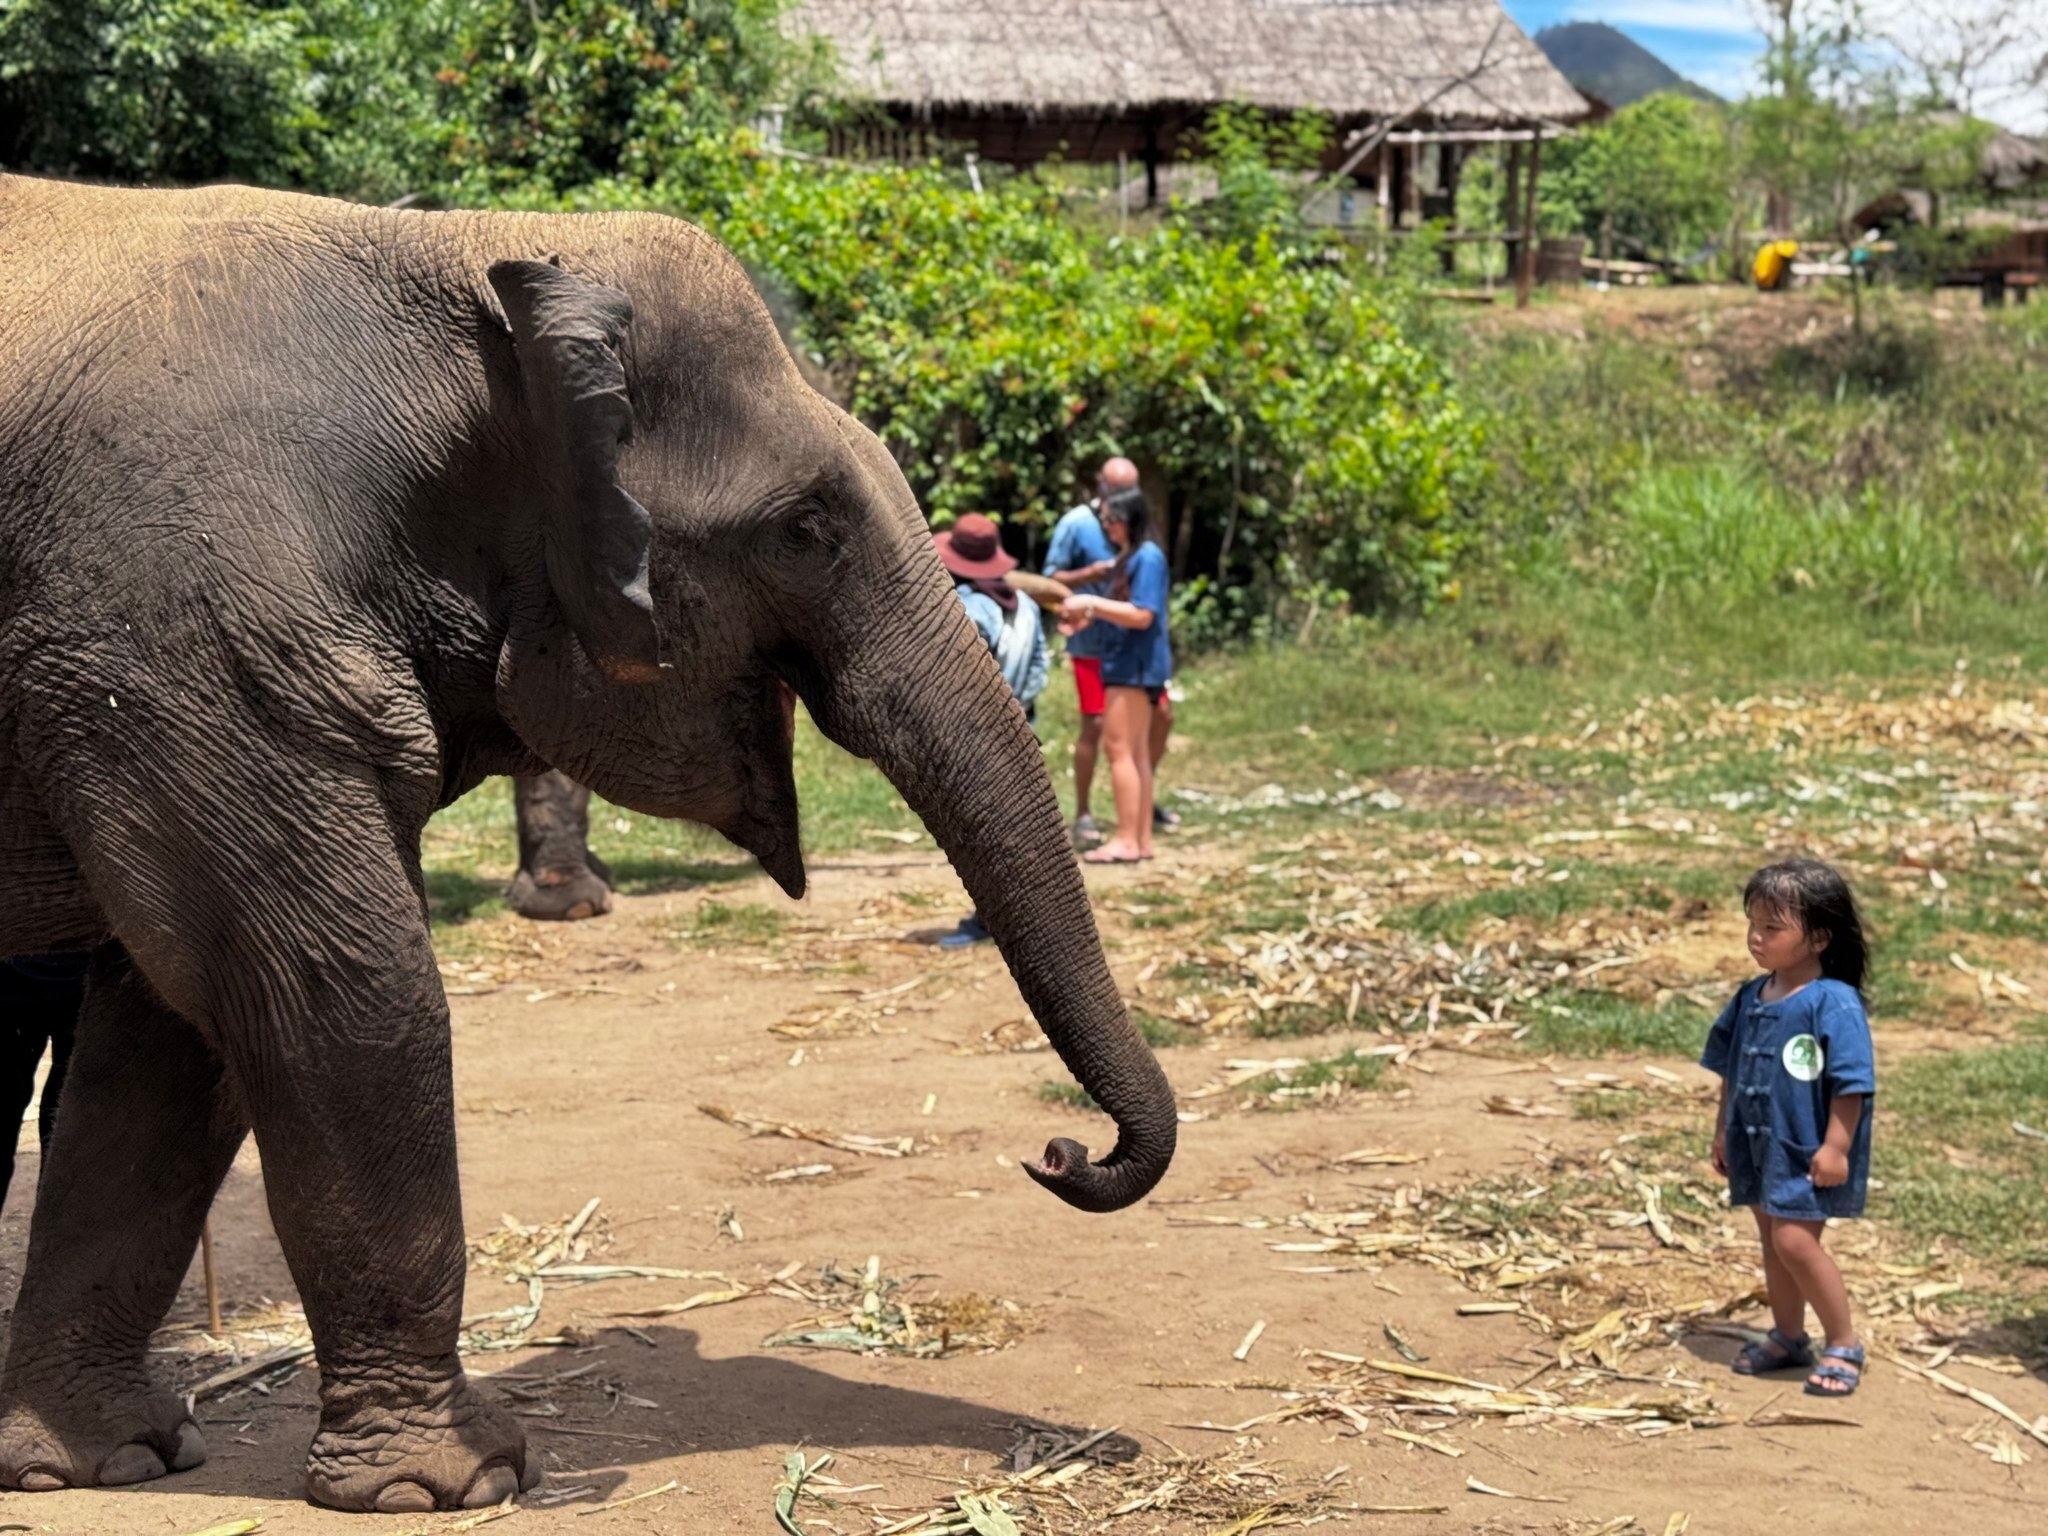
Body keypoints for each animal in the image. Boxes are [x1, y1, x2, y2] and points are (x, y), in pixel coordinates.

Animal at [0, 173, 1176, 1512]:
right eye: (806, 528)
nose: (1060, 1151)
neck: (456, 249)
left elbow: (172, 1040)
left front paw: (103, 1462)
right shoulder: (181, 627)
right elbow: (332, 991)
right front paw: (455, 1485)